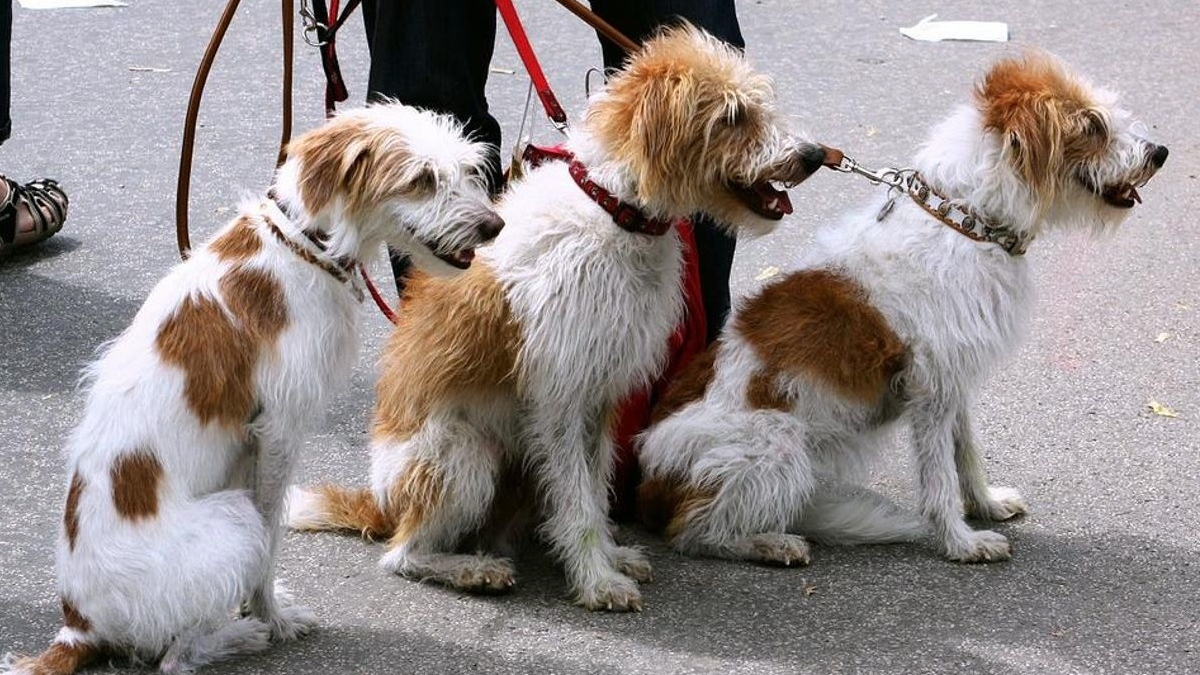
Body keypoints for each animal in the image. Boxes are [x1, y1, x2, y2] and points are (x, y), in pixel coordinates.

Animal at [3, 100, 501, 672]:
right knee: (174, 658)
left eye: (467, 170)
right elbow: (270, 536)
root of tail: (77, 626)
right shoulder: (278, 432)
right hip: (229, 521)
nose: (496, 225)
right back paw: (242, 635)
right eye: (422, 180)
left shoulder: (253, 444)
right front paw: (269, 617)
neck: (304, 244)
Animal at [643, 53, 1166, 562]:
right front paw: (960, 542)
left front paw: (985, 503)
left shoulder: (956, 377)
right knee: (691, 531)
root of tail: (647, 484)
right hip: (776, 440)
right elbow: (938, 476)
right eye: (1093, 124)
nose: (1158, 153)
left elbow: (966, 450)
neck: (965, 221)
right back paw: (769, 543)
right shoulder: (931, 390)